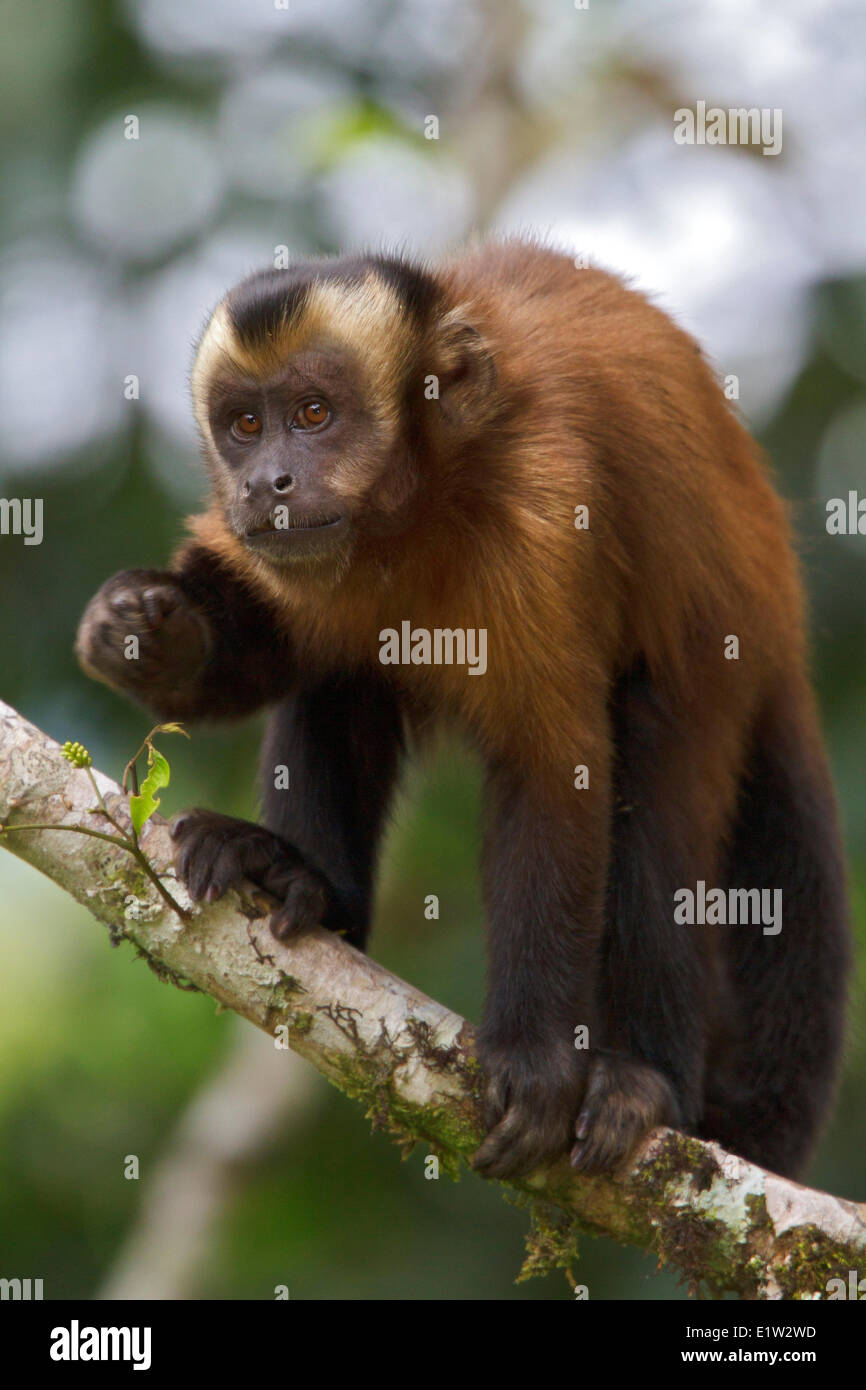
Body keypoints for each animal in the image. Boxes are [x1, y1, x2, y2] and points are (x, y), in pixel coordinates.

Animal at [76, 244, 856, 1178]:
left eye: (313, 413)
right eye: (244, 426)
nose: (267, 482)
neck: (422, 502)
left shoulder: (545, 505)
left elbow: (556, 769)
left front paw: (535, 1060)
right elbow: (273, 653)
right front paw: (146, 630)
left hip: (726, 663)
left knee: (659, 775)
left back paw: (647, 1082)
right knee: (342, 671)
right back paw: (310, 883)